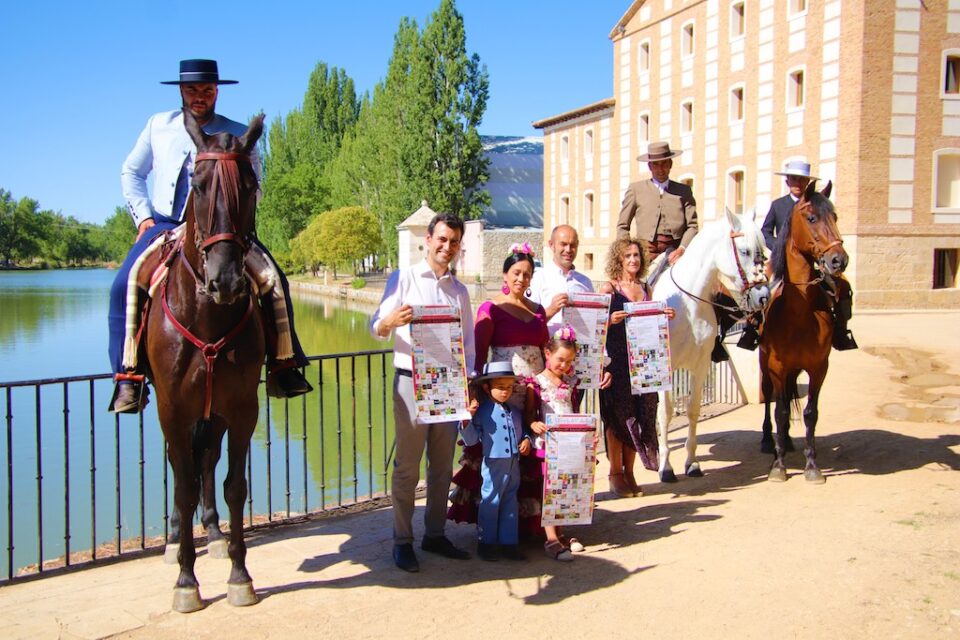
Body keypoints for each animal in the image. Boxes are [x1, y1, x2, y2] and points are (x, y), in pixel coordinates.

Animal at [756, 179, 848, 480]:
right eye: (811, 218)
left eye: (835, 217)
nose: (838, 260)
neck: (798, 312)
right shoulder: (776, 366)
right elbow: (780, 411)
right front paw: (778, 466)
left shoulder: (819, 367)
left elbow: (810, 413)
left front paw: (812, 466)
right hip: (766, 364)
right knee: (771, 399)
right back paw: (769, 441)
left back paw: (785, 440)